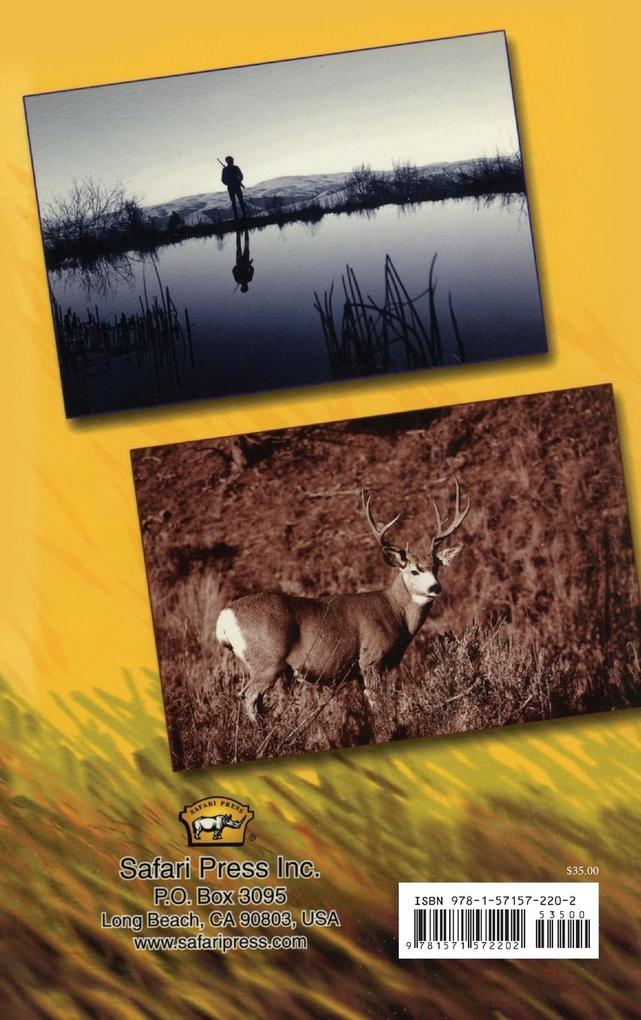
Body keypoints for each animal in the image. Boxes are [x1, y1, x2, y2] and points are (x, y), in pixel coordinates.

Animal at [215, 479, 471, 722]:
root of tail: (225, 617)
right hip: (267, 661)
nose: (435, 587)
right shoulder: (371, 659)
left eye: (436, 567)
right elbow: (379, 706)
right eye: (414, 570)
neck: (395, 612)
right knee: (248, 696)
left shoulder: (359, 671)